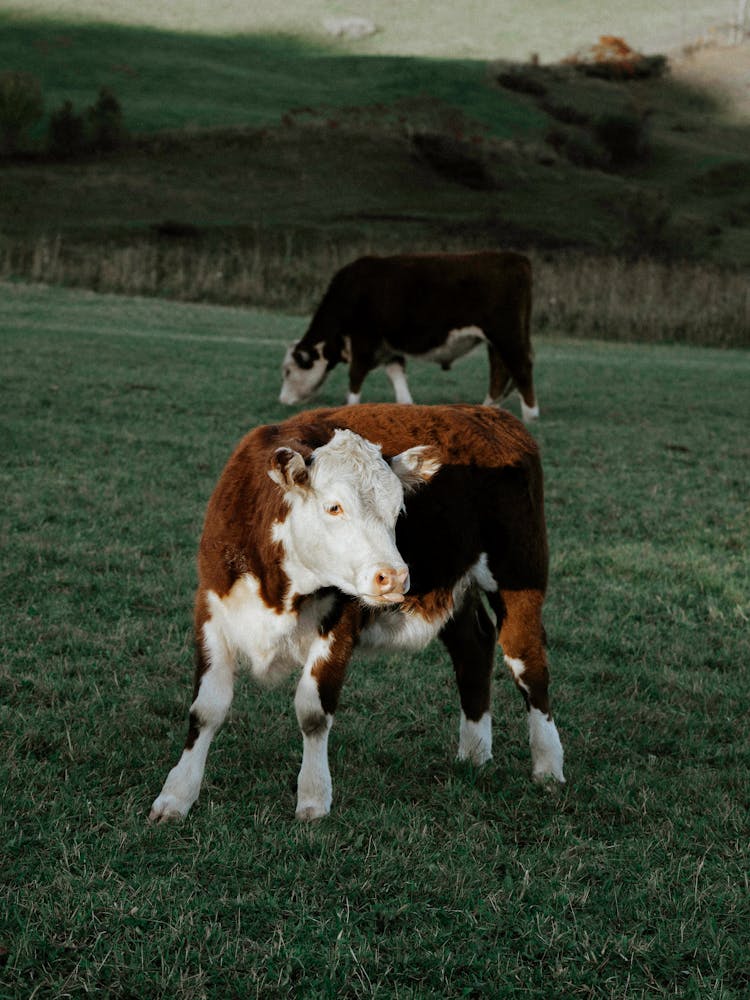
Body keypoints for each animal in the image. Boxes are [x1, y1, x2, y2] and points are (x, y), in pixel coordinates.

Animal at [150, 402, 564, 824]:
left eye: (398, 510)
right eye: (334, 506)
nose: (394, 576)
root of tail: (491, 416)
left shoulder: (339, 625)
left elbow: (313, 711)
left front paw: (313, 796)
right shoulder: (211, 611)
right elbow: (206, 709)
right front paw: (176, 795)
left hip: (520, 575)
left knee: (528, 663)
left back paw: (548, 766)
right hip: (458, 587)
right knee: (473, 649)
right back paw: (475, 753)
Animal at [278, 254, 540, 422]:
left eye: (289, 371)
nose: (282, 400)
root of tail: (515, 258)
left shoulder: (364, 339)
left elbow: (356, 374)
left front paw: (350, 405)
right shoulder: (388, 346)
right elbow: (396, 373)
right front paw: (405, 403)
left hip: (506, 334)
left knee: (520, 367)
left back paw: (530, 415)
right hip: (496, 341)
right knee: (500, 370)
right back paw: (488, 408)